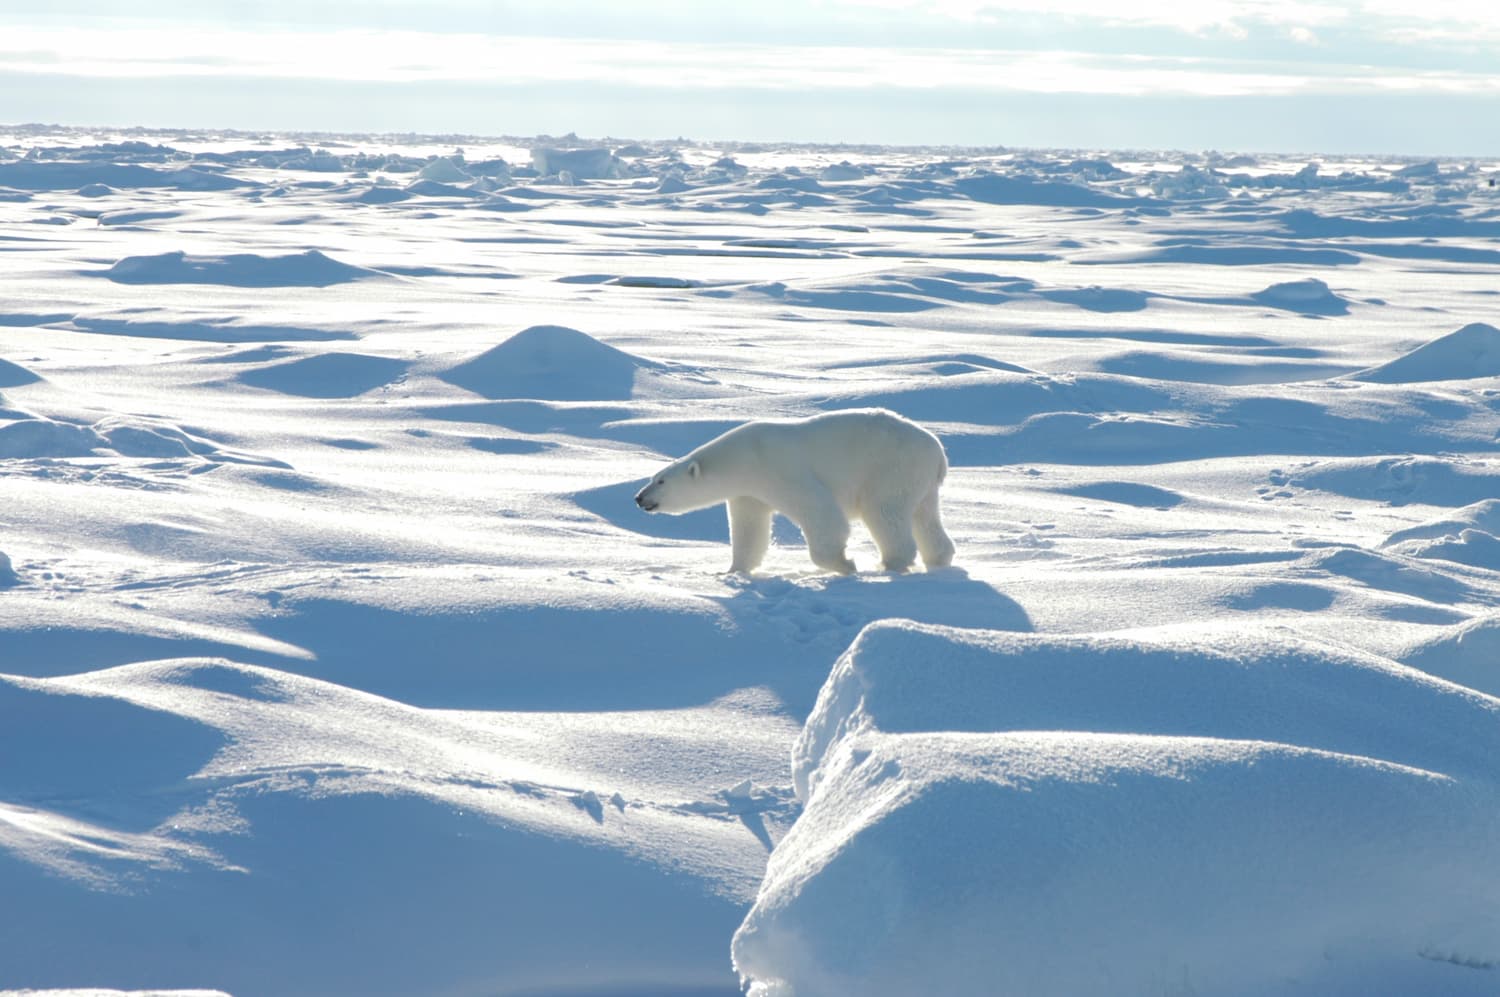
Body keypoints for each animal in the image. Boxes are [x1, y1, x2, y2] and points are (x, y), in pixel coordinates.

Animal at [633, 407, 948, 575]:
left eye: (661, 482)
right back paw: (939, 558)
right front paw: (733, 570)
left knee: (884, 511)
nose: (639, 498)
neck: (744, 457)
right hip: (919, 480)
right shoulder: (749, 492)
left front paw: (844, 563)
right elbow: (749, 528)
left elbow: (821, 512)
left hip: (891, 468)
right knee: (925, 516)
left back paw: (890, 563)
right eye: (653, 477)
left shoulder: (779, 470)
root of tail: (938, 452)